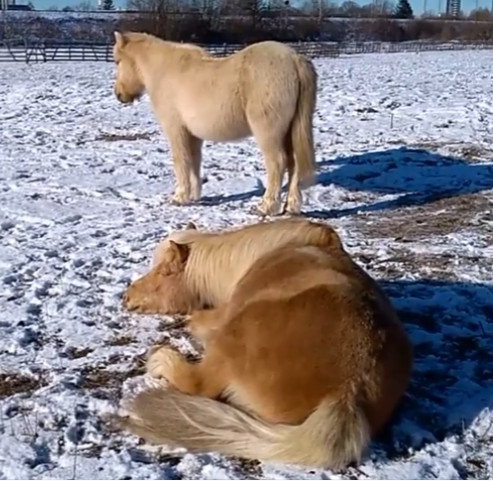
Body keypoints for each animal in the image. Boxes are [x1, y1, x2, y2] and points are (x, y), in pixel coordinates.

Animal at [111, 31, 318, 216]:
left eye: (117, 61)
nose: (119, 95)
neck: (164, 71)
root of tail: (294, 59)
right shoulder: (193, 135)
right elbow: (194, 161)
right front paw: (193, 196)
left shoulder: (176, 130)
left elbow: (181, 161)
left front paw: (179, 197)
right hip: (289, 131)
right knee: (294, 164)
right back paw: (291, 207)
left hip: (269, 132)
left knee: (277, 162)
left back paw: (266, 207)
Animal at [115, 218, 412, 468]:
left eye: (164, 271)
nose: (126, 296)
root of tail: (347, 391)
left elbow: (194, 321)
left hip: (230, 340)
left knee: (196, 383)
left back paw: (160, 359)